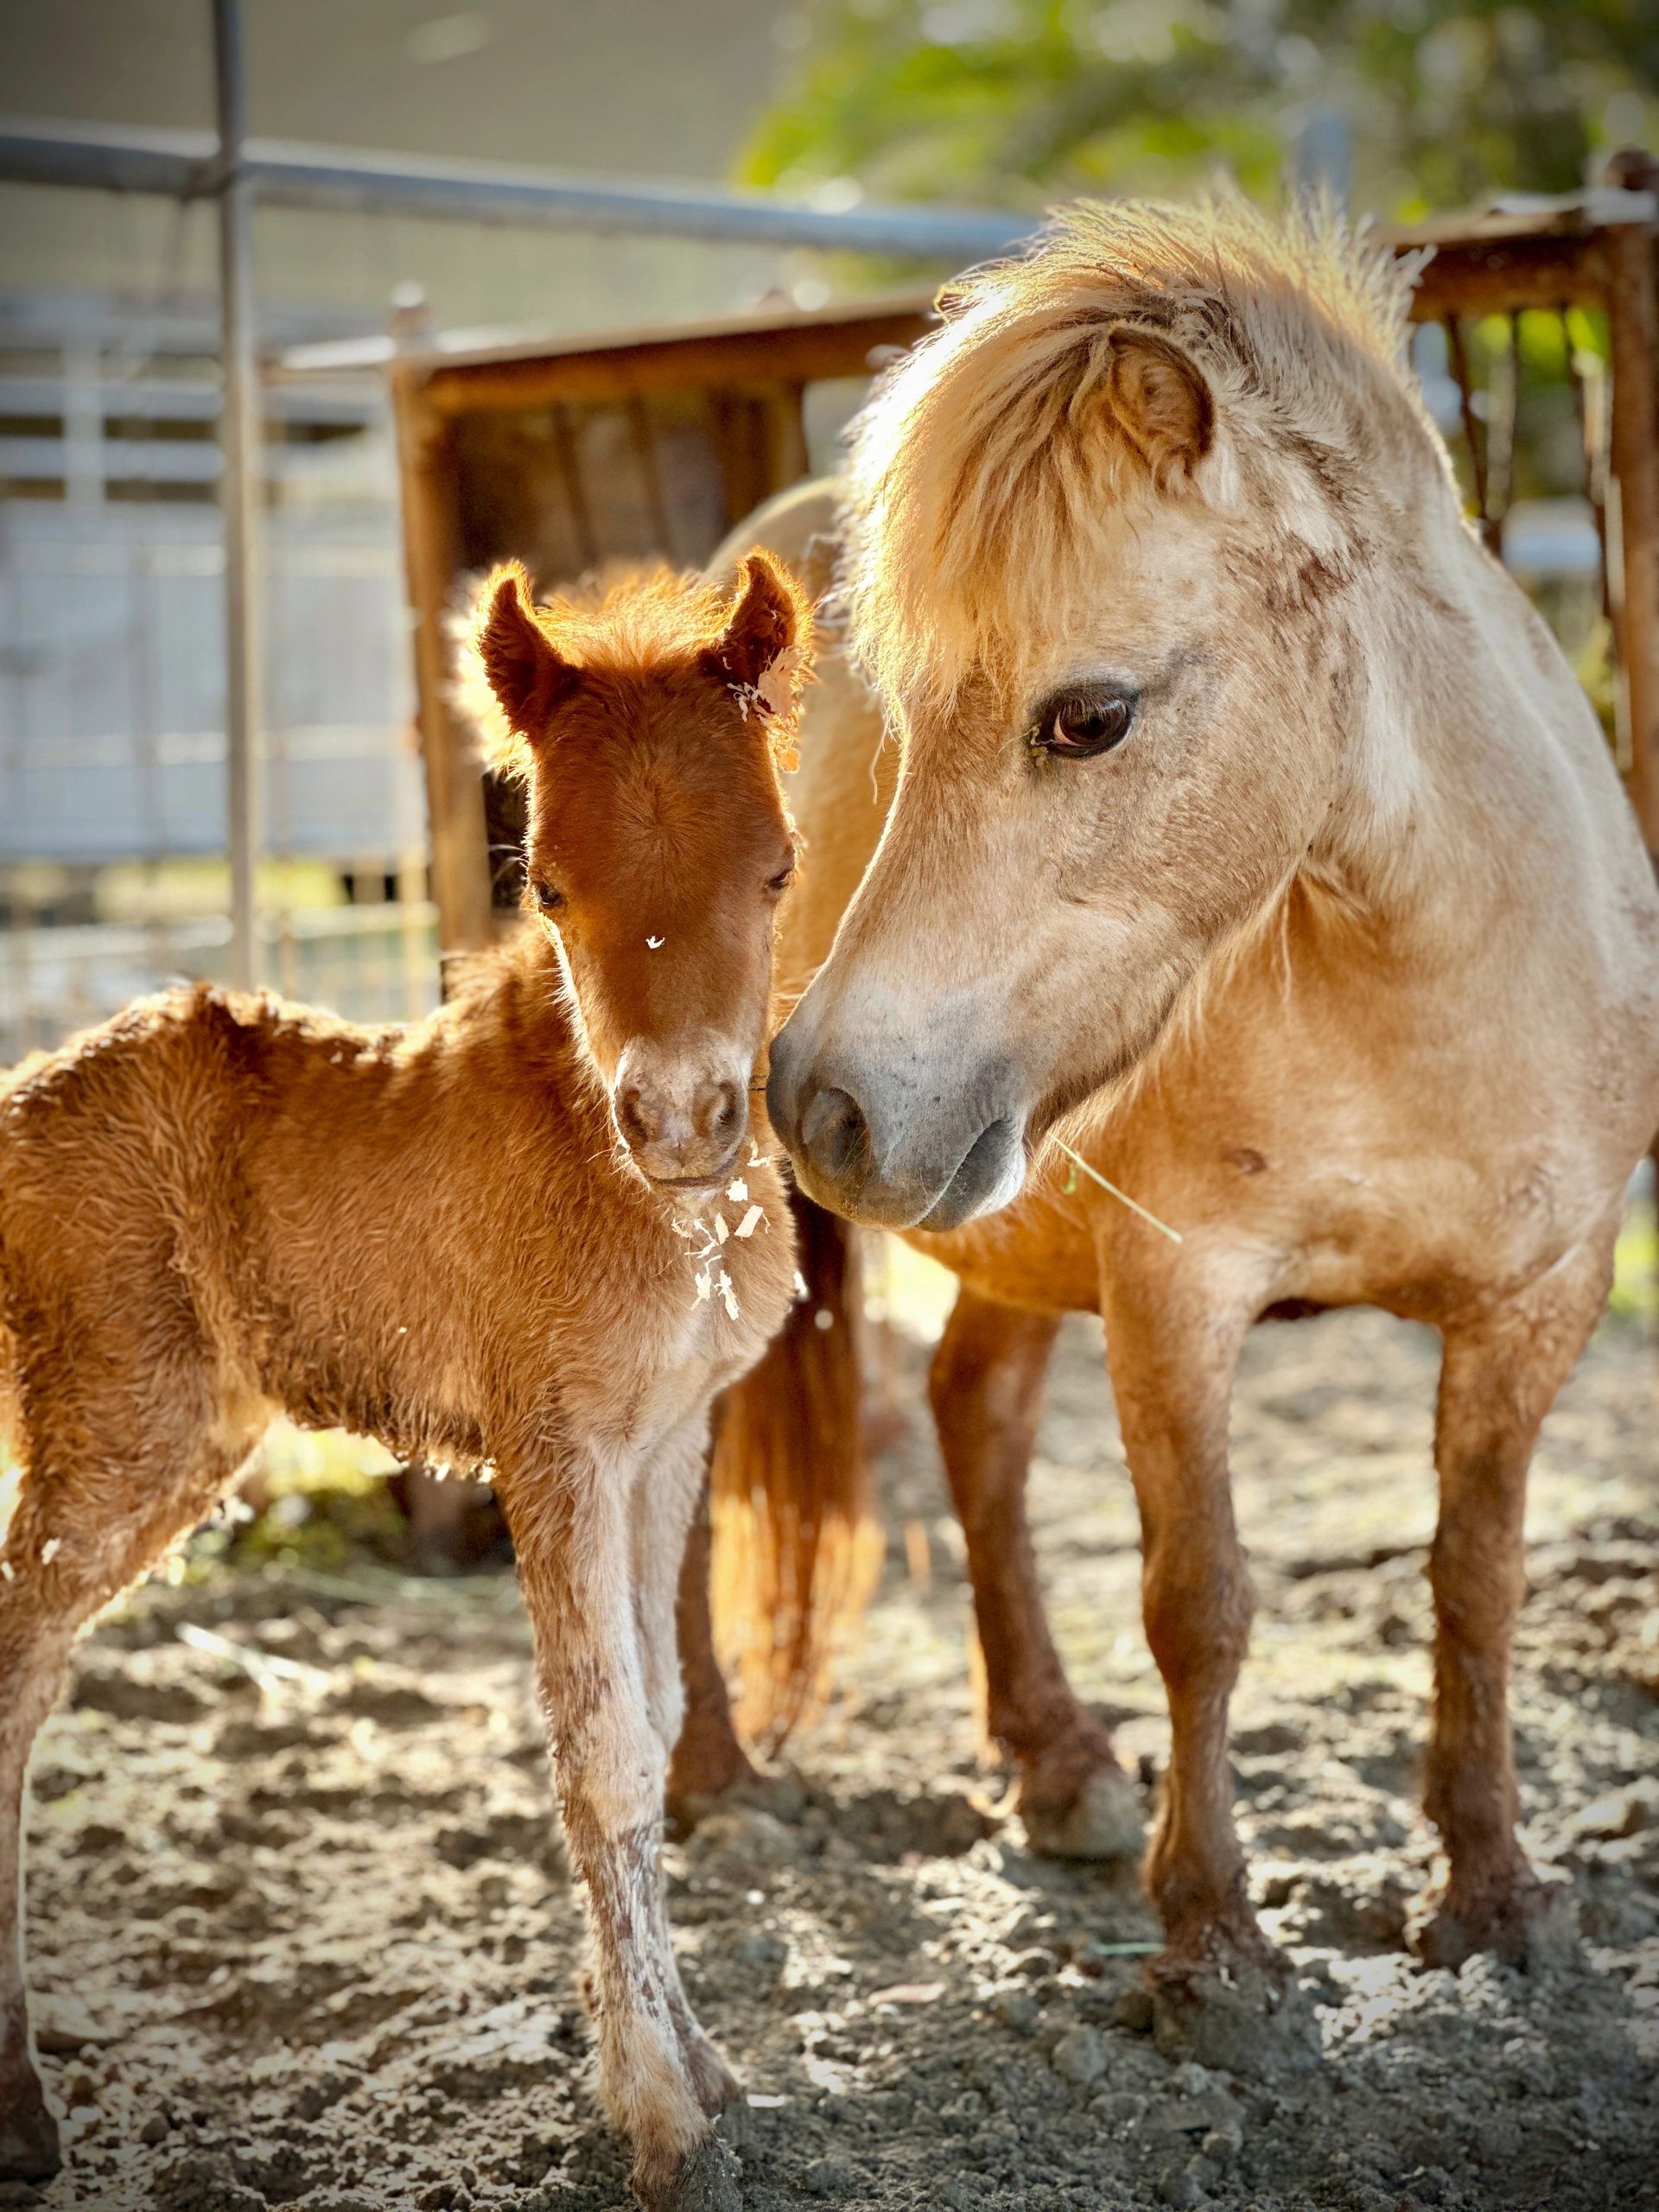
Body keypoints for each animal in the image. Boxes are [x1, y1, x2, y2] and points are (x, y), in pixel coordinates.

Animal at [0, 551, 813, 2210]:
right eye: (548, 885)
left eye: (774, 871)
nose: (681, 1121)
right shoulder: (551, 1441)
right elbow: (603, 1757)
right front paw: (656, 2119)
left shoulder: (665, 1442)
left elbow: (651, 1712)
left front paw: (702, 2068)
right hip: (120, 1427)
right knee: (10, 1670)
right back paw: (19, 2105)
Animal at [751, 199, 1659, 2059]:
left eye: (1088, 716)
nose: (827, 1101)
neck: (1428, 981)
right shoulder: (1179, 1296)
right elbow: (1203, 1602)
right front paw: (1217, 1948)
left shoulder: (1541, 1300)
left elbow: (1478, 1578)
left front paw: (1497, 1898)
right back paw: (702, 1782)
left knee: (974, 1422)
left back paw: (1058, 1766)